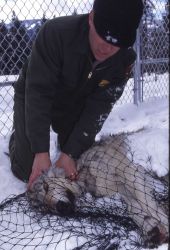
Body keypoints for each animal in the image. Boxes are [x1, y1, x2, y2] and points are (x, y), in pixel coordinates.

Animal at [27, 135, 168, 246]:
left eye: (46, 187)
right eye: (45, 207)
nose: (60, 207)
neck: (83, 174)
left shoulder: (128, 173)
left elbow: (149, 205)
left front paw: (164, 223)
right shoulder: (123, 190)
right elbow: (134, 210)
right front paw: (151, 229)